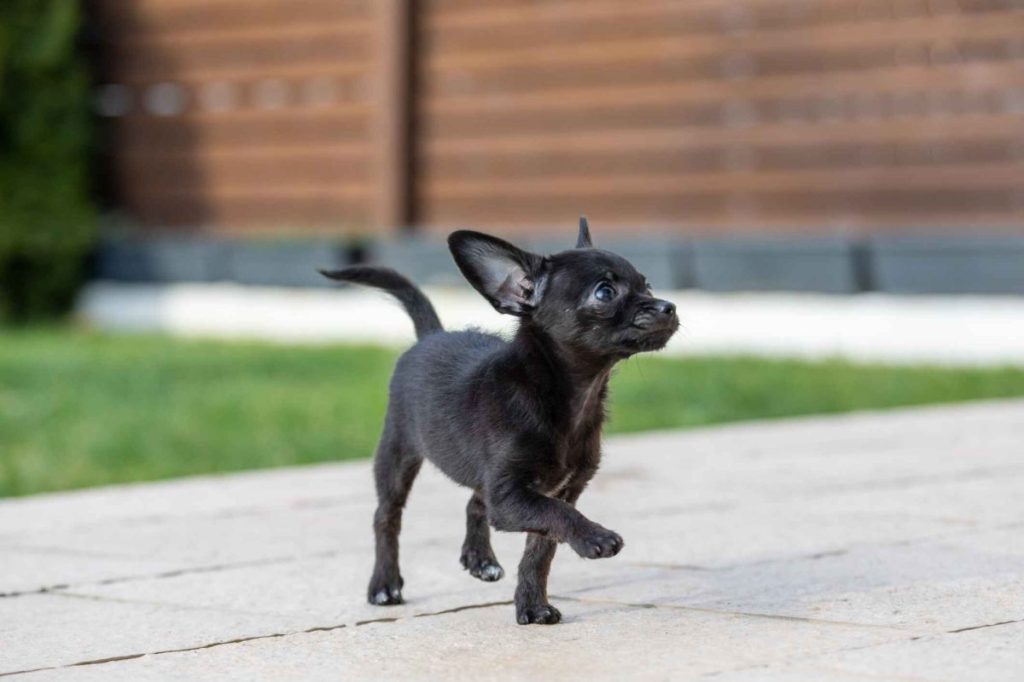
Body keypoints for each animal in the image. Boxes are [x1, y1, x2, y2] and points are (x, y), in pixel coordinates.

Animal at [319, 218, 671, 622]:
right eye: (605, 292)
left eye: (647, 284)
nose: (669, 307)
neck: (567, 397)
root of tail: (431, 335)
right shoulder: (512, 497)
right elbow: (557, 515)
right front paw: (594, 537)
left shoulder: (554, 490)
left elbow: (540, 550)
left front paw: (532, 605)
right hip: (397, 453)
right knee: (386, 516)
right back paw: (384, 584)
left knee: (475, 501)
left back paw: (479, 559)